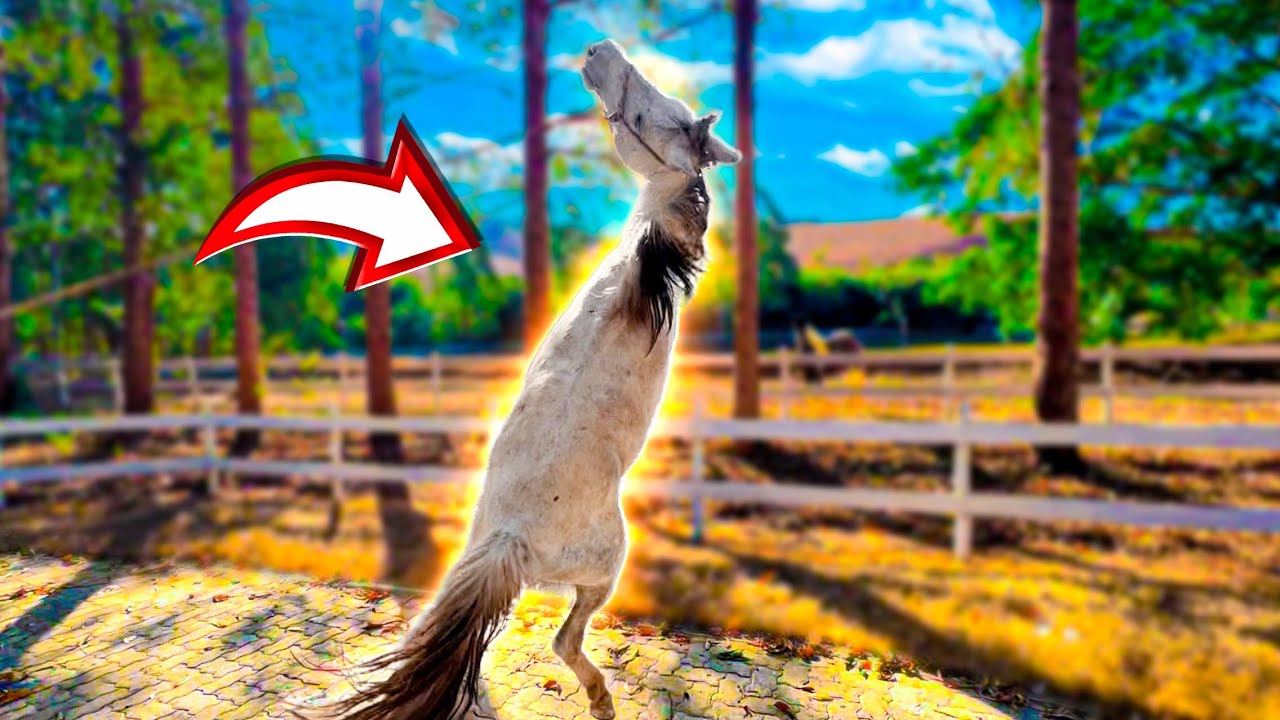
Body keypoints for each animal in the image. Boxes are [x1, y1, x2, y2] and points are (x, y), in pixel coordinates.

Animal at [297, 38, 739, 720]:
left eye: (648, 114)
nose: (598, 51)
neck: (641, 264)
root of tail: (511, 539)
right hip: (596, 569)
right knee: (561, 639)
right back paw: (597, 697)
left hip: (524, 569)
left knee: (499, 643)